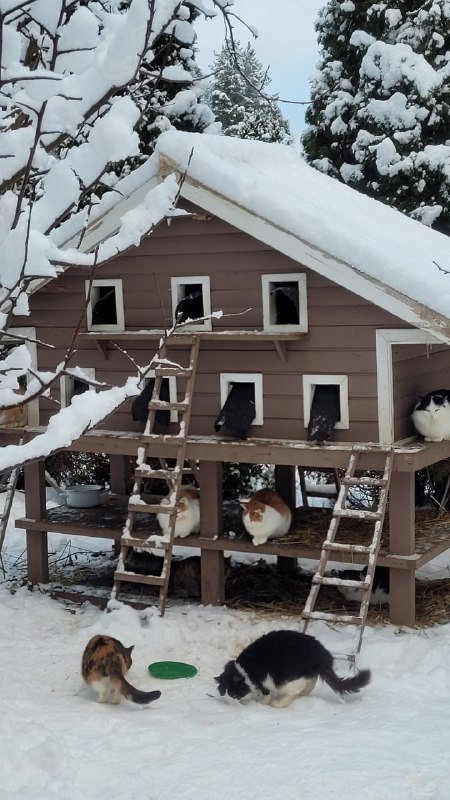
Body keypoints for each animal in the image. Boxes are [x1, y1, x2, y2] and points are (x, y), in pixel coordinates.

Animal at [216, 632, 370, 708]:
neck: (245, 669)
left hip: (286, 677)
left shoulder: (265, 678)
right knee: (310, 682)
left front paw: (263, 702)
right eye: (226, 693)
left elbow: (266, 692)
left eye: (234, 693)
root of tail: (321, 654)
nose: (230, 700)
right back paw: (303, 694)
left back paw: (279, 703)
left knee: (296, 689)